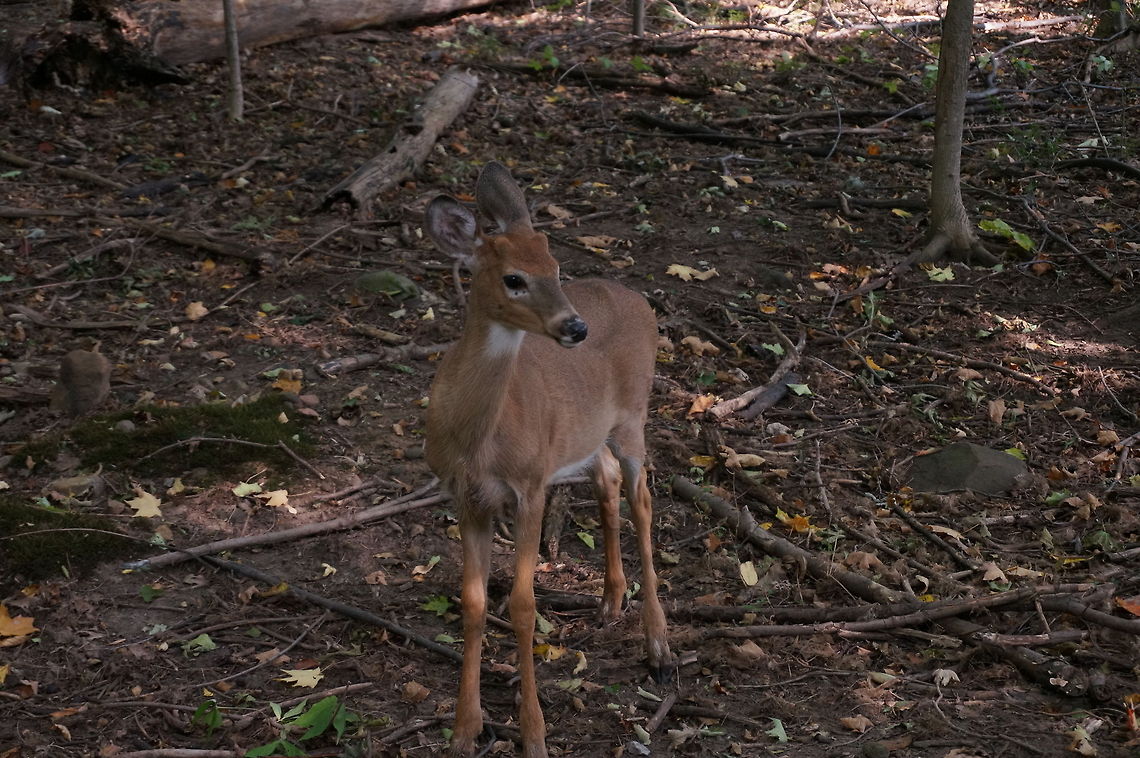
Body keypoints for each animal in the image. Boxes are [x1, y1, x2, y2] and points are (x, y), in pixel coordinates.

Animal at [423, 162, 674, 758]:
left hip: (634, 414)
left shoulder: (530, 484)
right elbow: (472, 603)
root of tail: (639, 298)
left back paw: (658, 647)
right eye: (515, 278)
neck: (479, 439)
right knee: (606, 477)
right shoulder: (466, 497)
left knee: (643, 498)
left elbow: (521, 605)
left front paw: (534, 734)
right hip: (586, 434)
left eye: (557, 268)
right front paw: (464, 730)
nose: (575, 327)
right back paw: (609, 602)